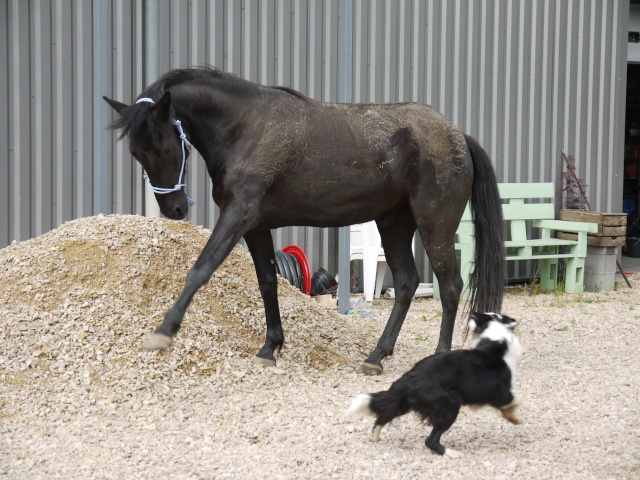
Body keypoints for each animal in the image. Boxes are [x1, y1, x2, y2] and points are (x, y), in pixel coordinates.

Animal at [105, 66, 504, 376]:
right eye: (137, 152)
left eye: (165, 148)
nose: (174, 209)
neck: (245, 126)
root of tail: (457, 135)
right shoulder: (256, 226)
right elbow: (267, 282)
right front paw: (270, 347)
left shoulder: (237, 215)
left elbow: (201, 269)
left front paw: (163, 331)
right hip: (394, 225)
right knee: (406, 283)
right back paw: (376, 356)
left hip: (435, 226)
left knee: (450, 287)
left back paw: (438, 357)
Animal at [348, 312, 524, 458]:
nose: (473, 313)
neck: (496, 339)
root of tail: (408, 380)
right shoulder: (500, 392)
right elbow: (514, 401)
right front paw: (514, 419)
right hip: (449, 405)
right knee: (430, 440)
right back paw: (452, 453)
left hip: (403, 403)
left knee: (383, 415)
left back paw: (375, 437)